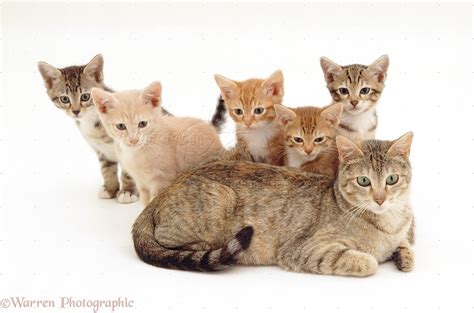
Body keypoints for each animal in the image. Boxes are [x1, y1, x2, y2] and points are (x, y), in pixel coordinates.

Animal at [90, 80, 224, 205]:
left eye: (142, 124)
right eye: (121, 126)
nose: (133, 140)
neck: (136, 153)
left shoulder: (163, 181)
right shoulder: (141, 183)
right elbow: (145, 203)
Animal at [132, 132, 414, 276]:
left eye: (391, 179)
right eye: (364, 181)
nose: (380, 199)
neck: (388, 224)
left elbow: (405, 245)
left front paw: (404, 256)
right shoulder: (305, 249)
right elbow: (368, 262)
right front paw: (373, 259)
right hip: (219, 201)